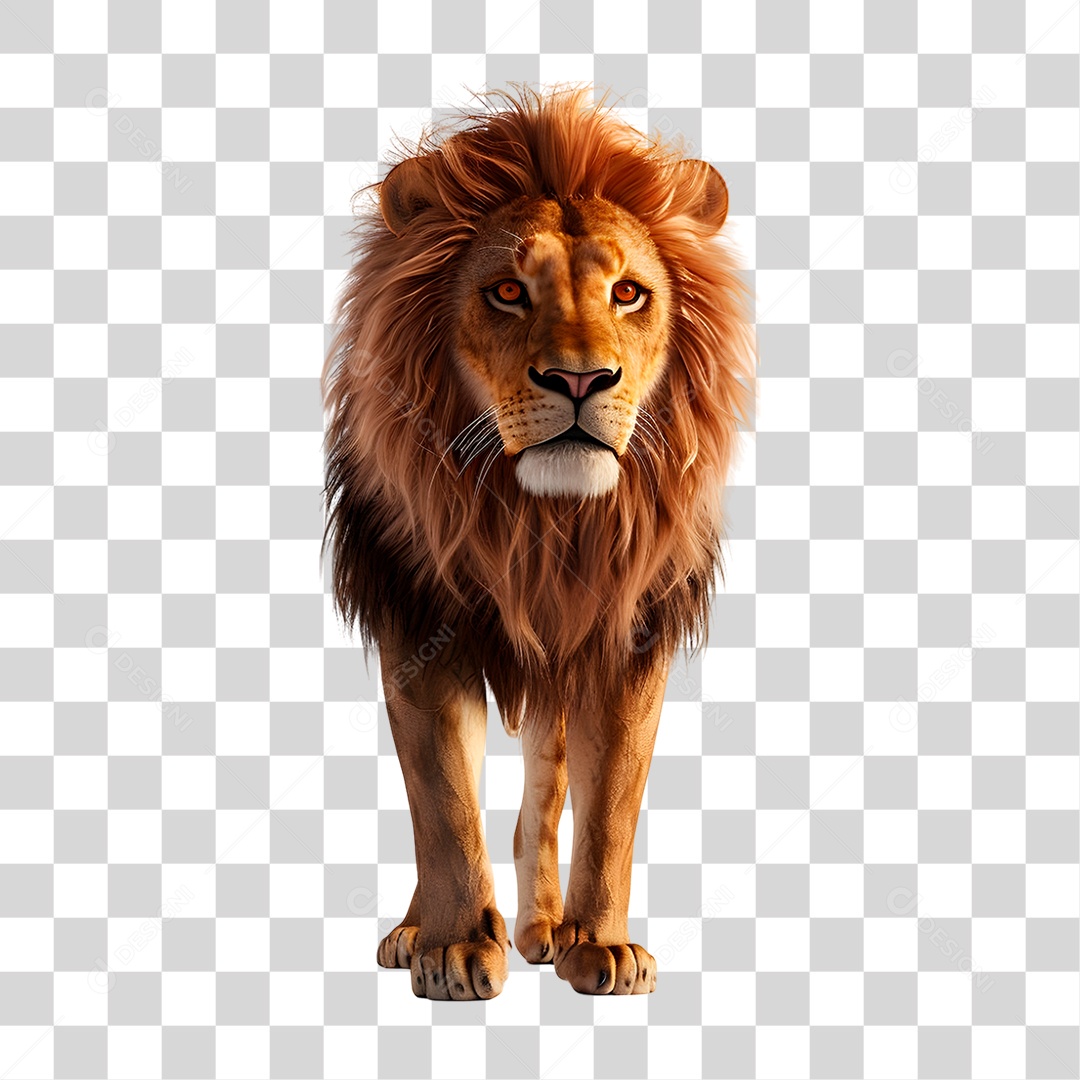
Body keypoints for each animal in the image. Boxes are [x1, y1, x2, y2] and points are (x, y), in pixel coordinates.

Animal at [322, 87, 755, 999]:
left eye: (627, 293)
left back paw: (544, 928)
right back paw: (418, 931)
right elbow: (443, 801)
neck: (545, 525)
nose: (581, 379)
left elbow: (611, 806)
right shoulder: (421, 621)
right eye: (508, 291)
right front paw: (453, 949)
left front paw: (601, 945)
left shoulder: (629, 633)